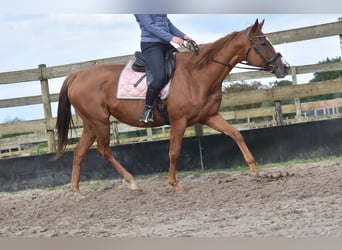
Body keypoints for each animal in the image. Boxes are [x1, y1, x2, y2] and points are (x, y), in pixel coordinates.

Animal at [55, 19, 288, 199]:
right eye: (263, 42)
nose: (283, 67)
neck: (197, 75)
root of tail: (77, 74)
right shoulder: (179, 121)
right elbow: (174, 152)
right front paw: (174, 184)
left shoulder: (210, 116)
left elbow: (236, 134)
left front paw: (254, 169)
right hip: (100, 122)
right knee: (104, 151)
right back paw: (133, 183)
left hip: (91, 124)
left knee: (79, 152)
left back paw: (77, 192)